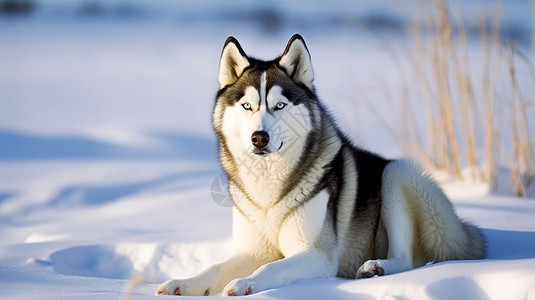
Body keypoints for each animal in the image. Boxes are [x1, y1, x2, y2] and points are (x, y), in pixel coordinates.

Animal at [155, 34, 486, 296]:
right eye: (247, 106)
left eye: (279, 105)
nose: (259, 137)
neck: (269, 191)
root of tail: (464, 231)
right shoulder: (252, 251)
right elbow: (214, 267)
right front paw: (182, 283)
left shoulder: (316, 254)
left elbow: (271, 269)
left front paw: (244, 283)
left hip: (397, 174)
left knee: (405, 257)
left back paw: (377, 267)